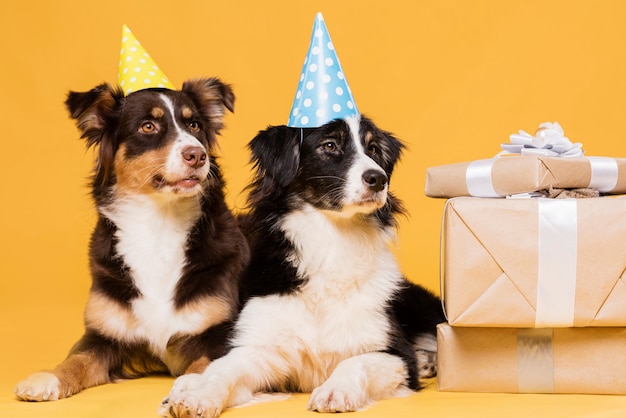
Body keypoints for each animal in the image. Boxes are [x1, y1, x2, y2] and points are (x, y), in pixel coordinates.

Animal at [14, 76, 249, 400]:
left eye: (195, 125)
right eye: (147, 126)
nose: (198, 155)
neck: (159, 224)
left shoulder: (222, 331)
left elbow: (205, 365)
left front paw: (193, 389)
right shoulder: (102, 335)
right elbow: (77, 359)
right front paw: (48, 377)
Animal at [161, 115, 444, 418]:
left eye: (374, 149)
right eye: (330, 145)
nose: (379, 179)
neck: (331, 242)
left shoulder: (396, 354)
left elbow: (355, 362)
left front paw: (335, 390)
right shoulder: (260, 348)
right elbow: (222, 370)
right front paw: (196, 395)